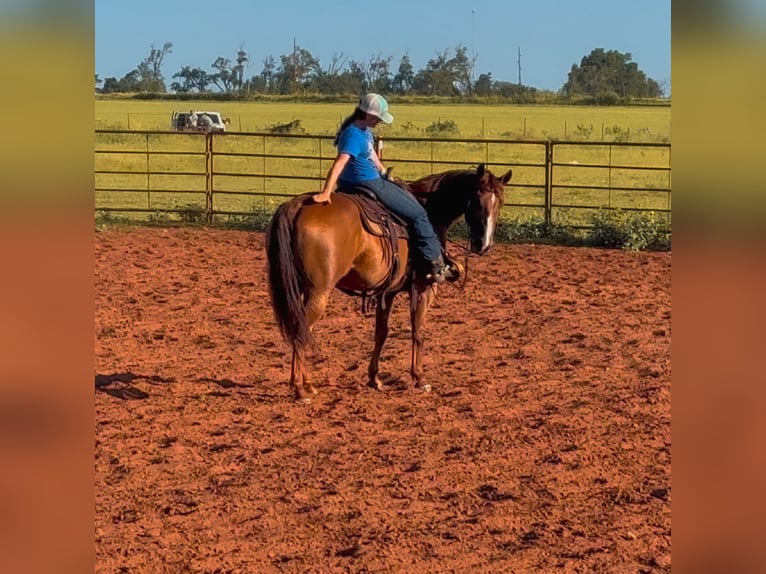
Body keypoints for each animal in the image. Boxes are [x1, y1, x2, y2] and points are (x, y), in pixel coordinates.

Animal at [265, 163, 513, 402]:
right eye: (477, 199)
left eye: (500, 202)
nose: (484, 245)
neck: (430, 209)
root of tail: (298, 205)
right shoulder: (423, 288)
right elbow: (418, 331)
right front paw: (419, 378)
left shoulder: (387, 292)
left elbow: (381, 333)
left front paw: (374, 378)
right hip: (319, 293)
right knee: (301, 331)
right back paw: (300, 390)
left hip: (302, 291)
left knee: (302, 330)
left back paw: (307, 384)